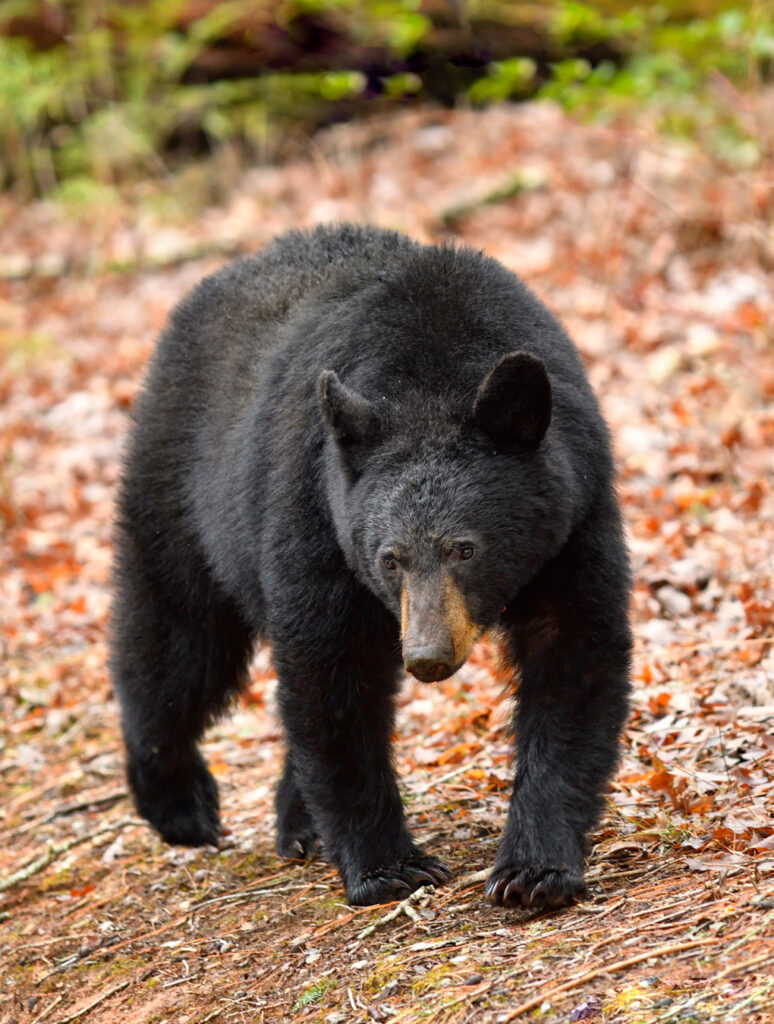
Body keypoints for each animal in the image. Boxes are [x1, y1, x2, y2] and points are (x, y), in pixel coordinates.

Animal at [113, 222, 630, 905]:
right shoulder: (317, 508)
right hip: (181, 487)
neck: (433, 379)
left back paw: (298, 820)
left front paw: (534, 869)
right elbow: (335, 673)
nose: (429, 656)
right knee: (176, 634)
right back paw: (179, 803)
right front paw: (389, 867)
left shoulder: (573, 512)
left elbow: (573, 651)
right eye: (390, 559)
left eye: (466, 548)